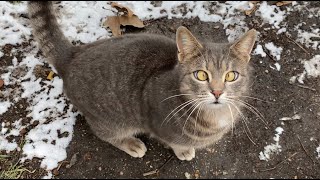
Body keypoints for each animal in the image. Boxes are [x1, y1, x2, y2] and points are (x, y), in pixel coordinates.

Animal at [27, 1, 258, 160]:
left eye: (231, 76)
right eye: (201, 75)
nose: (217, 92)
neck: (215, 117)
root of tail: (74, 54)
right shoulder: (160, 127)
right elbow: (175, 142)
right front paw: (183, 151)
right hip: (110, 119)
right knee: (104, 134)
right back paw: (131, 143)